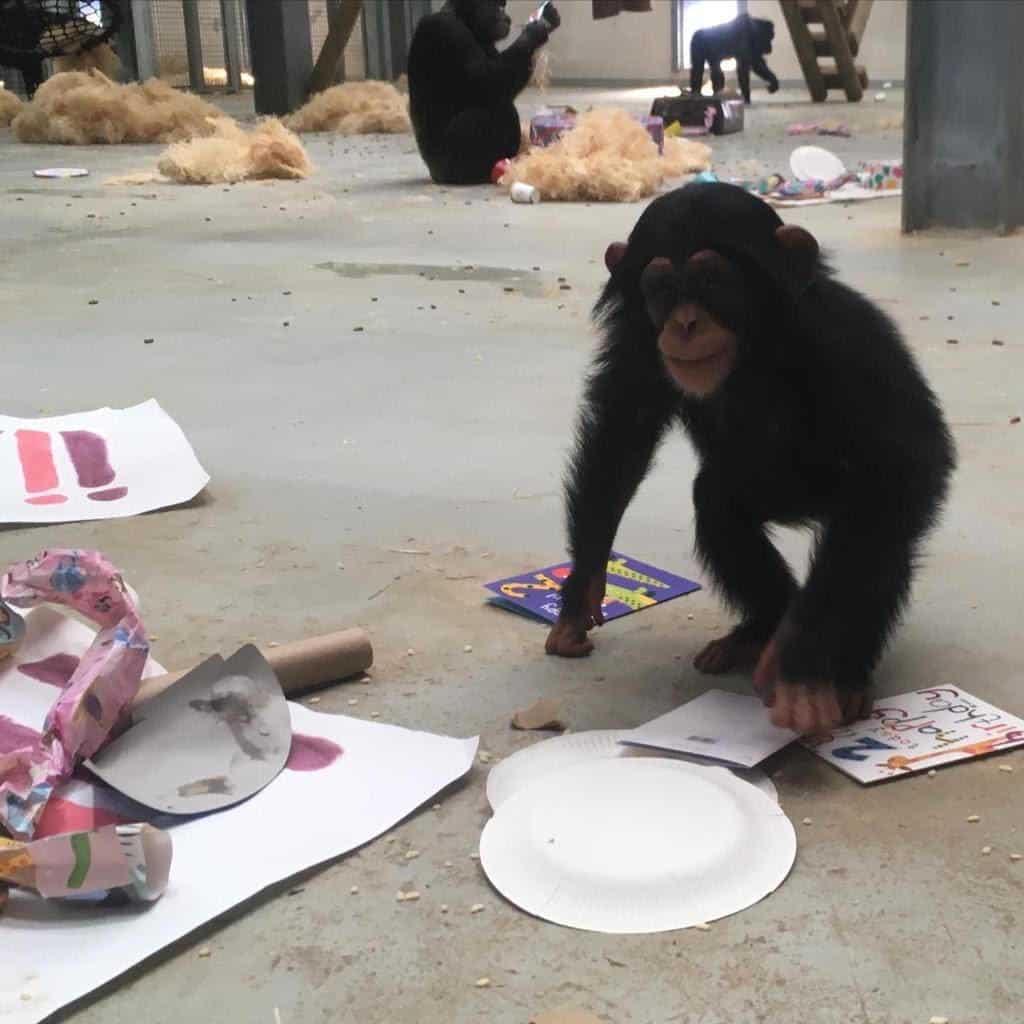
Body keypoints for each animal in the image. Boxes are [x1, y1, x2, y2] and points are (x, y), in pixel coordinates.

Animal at [548, 182, 954, 737]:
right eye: (662, 289)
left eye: (712, 281)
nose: (685, 323)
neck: (751, 348)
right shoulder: (638, 339)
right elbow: (623, 429)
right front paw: (581, 588)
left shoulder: (844, 338)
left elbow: (902, 461)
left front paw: (802, 666)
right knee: (717, 502)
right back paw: (761, 629)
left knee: (879, 531)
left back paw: (840, 674)